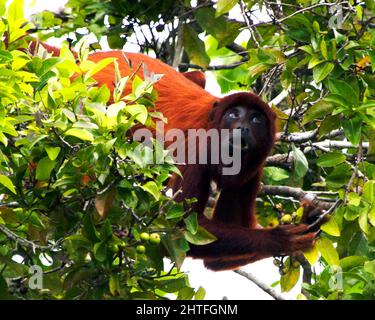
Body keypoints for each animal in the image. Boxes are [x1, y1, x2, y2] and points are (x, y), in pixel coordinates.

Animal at [27, 40, 318, 270]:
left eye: (256, 119)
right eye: (234, 115)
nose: (242, 127)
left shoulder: (254, 170)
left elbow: (215, 258)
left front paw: (307, 220)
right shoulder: (196, 150)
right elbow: (180, 228)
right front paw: (282, 238)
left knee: (199, 77)